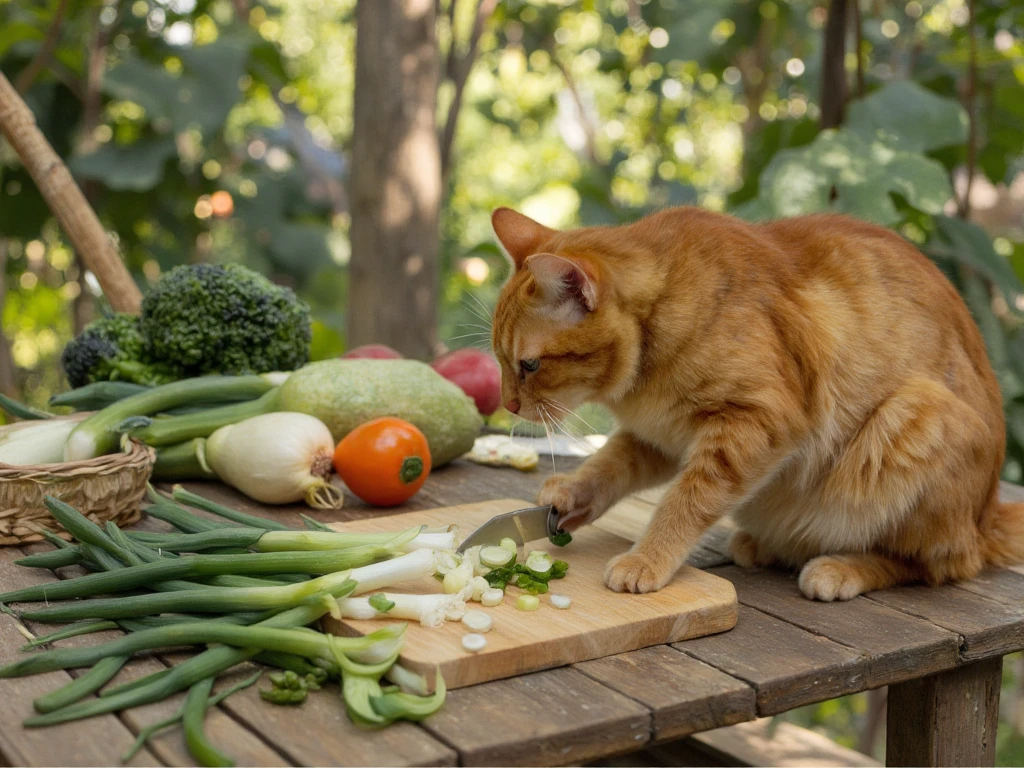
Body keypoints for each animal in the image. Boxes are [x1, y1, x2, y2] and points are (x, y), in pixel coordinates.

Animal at [489, 204, 1024, 602]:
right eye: (499, 358)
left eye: (529, 365)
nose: (509, 404)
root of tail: (987, 517)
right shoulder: (660, 435)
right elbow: (609, 465)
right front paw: (572, 492)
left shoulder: (754, 426)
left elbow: (685, 501)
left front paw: (648, 557)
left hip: (911, 419)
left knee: (936, 565)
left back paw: (840, 568)